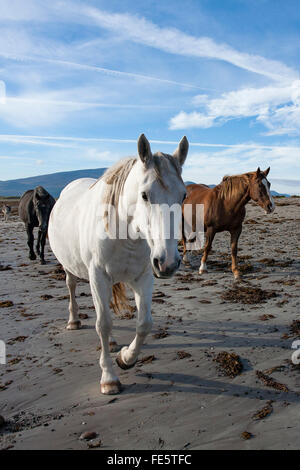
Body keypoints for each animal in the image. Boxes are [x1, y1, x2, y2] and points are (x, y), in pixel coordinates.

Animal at [48, 134, 189, 394]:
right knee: (72, 287)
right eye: (144, 195)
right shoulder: (98, 277)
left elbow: (144, 324)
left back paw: (113, 344)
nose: (168, 262)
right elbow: (103, 324)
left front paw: (125, 358)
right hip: (71, 268)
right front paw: (109, 378)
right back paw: (73, 320)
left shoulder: (144, 278)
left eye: (183, 196)